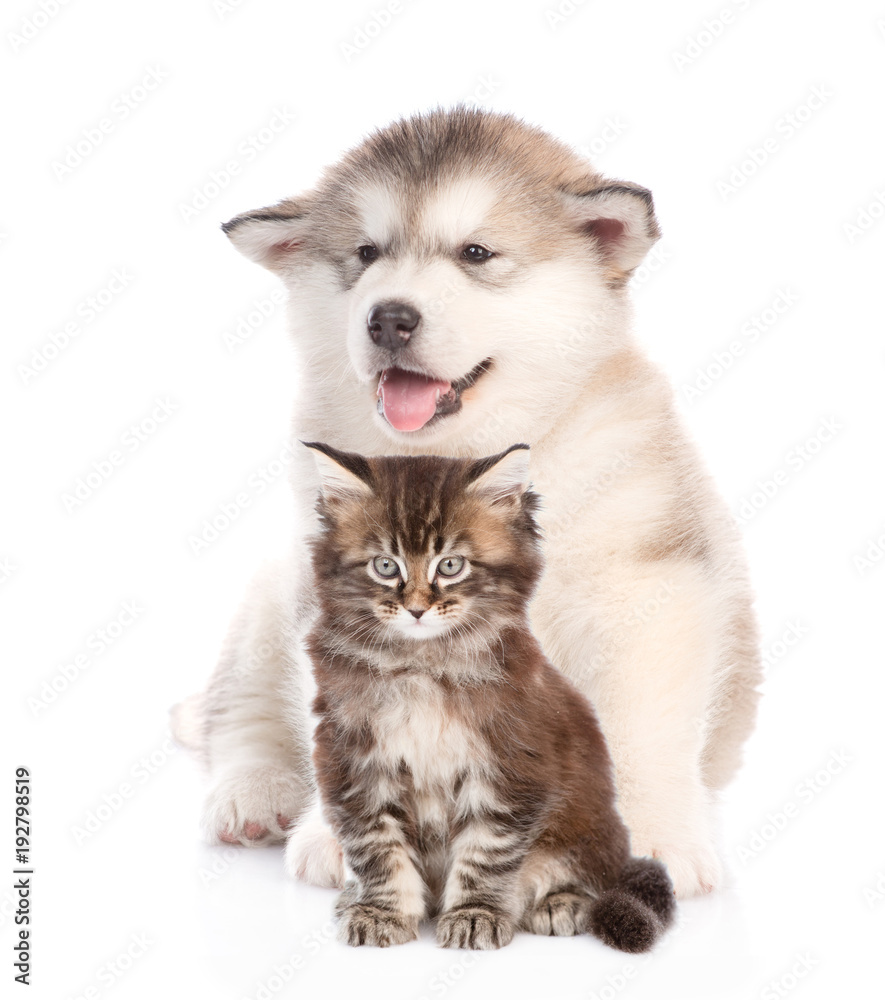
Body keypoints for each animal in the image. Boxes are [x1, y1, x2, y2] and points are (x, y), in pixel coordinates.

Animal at [180, 107, 760, 900]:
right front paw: (342, 835)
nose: (388, 318)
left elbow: (643, 724)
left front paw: (649, 832)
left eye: (476, 252)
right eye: (365, 252)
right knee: (238, 710)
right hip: (266, 600)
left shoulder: (652, 585)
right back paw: (254, 793)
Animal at [300, 444, 672, 952]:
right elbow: (377, 849)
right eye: (386, 566)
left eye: (450, 565)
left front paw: (474, 915)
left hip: (588, 829)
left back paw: (561, 903)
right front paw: (381, 912)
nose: (417, 609)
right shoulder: (353, 761)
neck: (423, 666)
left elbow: (486, 851)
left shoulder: (511, 765)